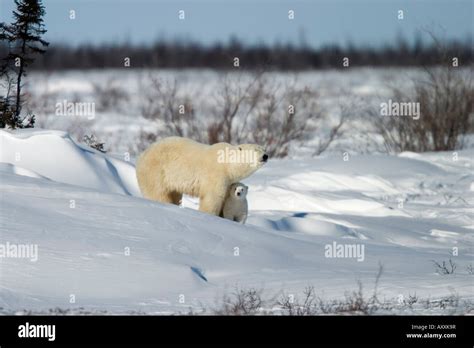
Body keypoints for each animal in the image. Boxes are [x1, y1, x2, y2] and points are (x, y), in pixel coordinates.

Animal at [136, 136, 266, 215]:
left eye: (264, 149)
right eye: (256, 150)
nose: (266, 156)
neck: (227, 163)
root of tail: (142, 155)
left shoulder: (229, 182)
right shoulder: (216, 175)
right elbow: (212, 198)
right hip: (156, 171)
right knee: (158, 193)